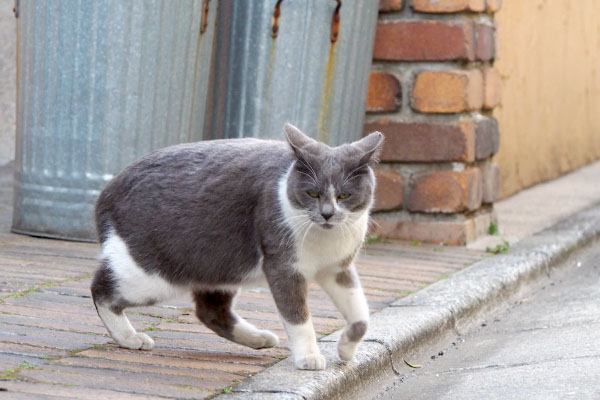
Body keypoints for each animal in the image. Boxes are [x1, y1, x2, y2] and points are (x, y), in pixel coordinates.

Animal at [91, 123, 384, 370]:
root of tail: (107, 191)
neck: (326, 239)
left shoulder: (338, 269)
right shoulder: (283, 267)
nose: (327, 214)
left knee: (210, 310)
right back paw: (129, 337)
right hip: (151, 275)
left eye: (344, 195)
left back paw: (258, 339)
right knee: (101, 290)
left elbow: (362, 317)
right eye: (312, 193)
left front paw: (346, 350)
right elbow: (299, 317)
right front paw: (309, 357)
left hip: (220, 266)